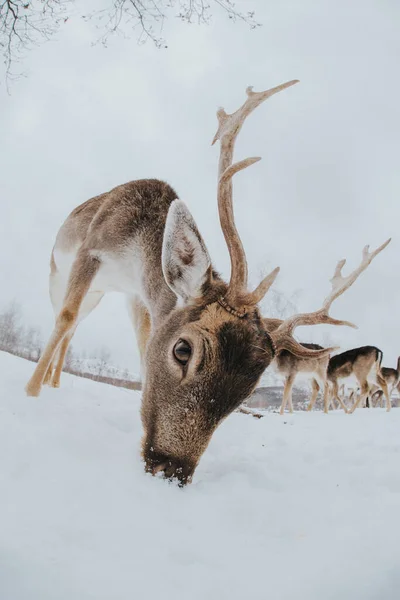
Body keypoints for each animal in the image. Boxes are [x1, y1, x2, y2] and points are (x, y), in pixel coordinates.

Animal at [25, 78, 390, 482]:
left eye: (250, 388)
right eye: (182, 350)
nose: (171, 468)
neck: (132, 255)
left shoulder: (136, 296)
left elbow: (140, 344)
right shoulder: (92, 249)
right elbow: (65, 317)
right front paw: (30, 394)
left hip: (99, 294)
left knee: (74, 329)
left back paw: (56, 381)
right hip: (59, 275)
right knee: (65, 318)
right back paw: (45, 382)